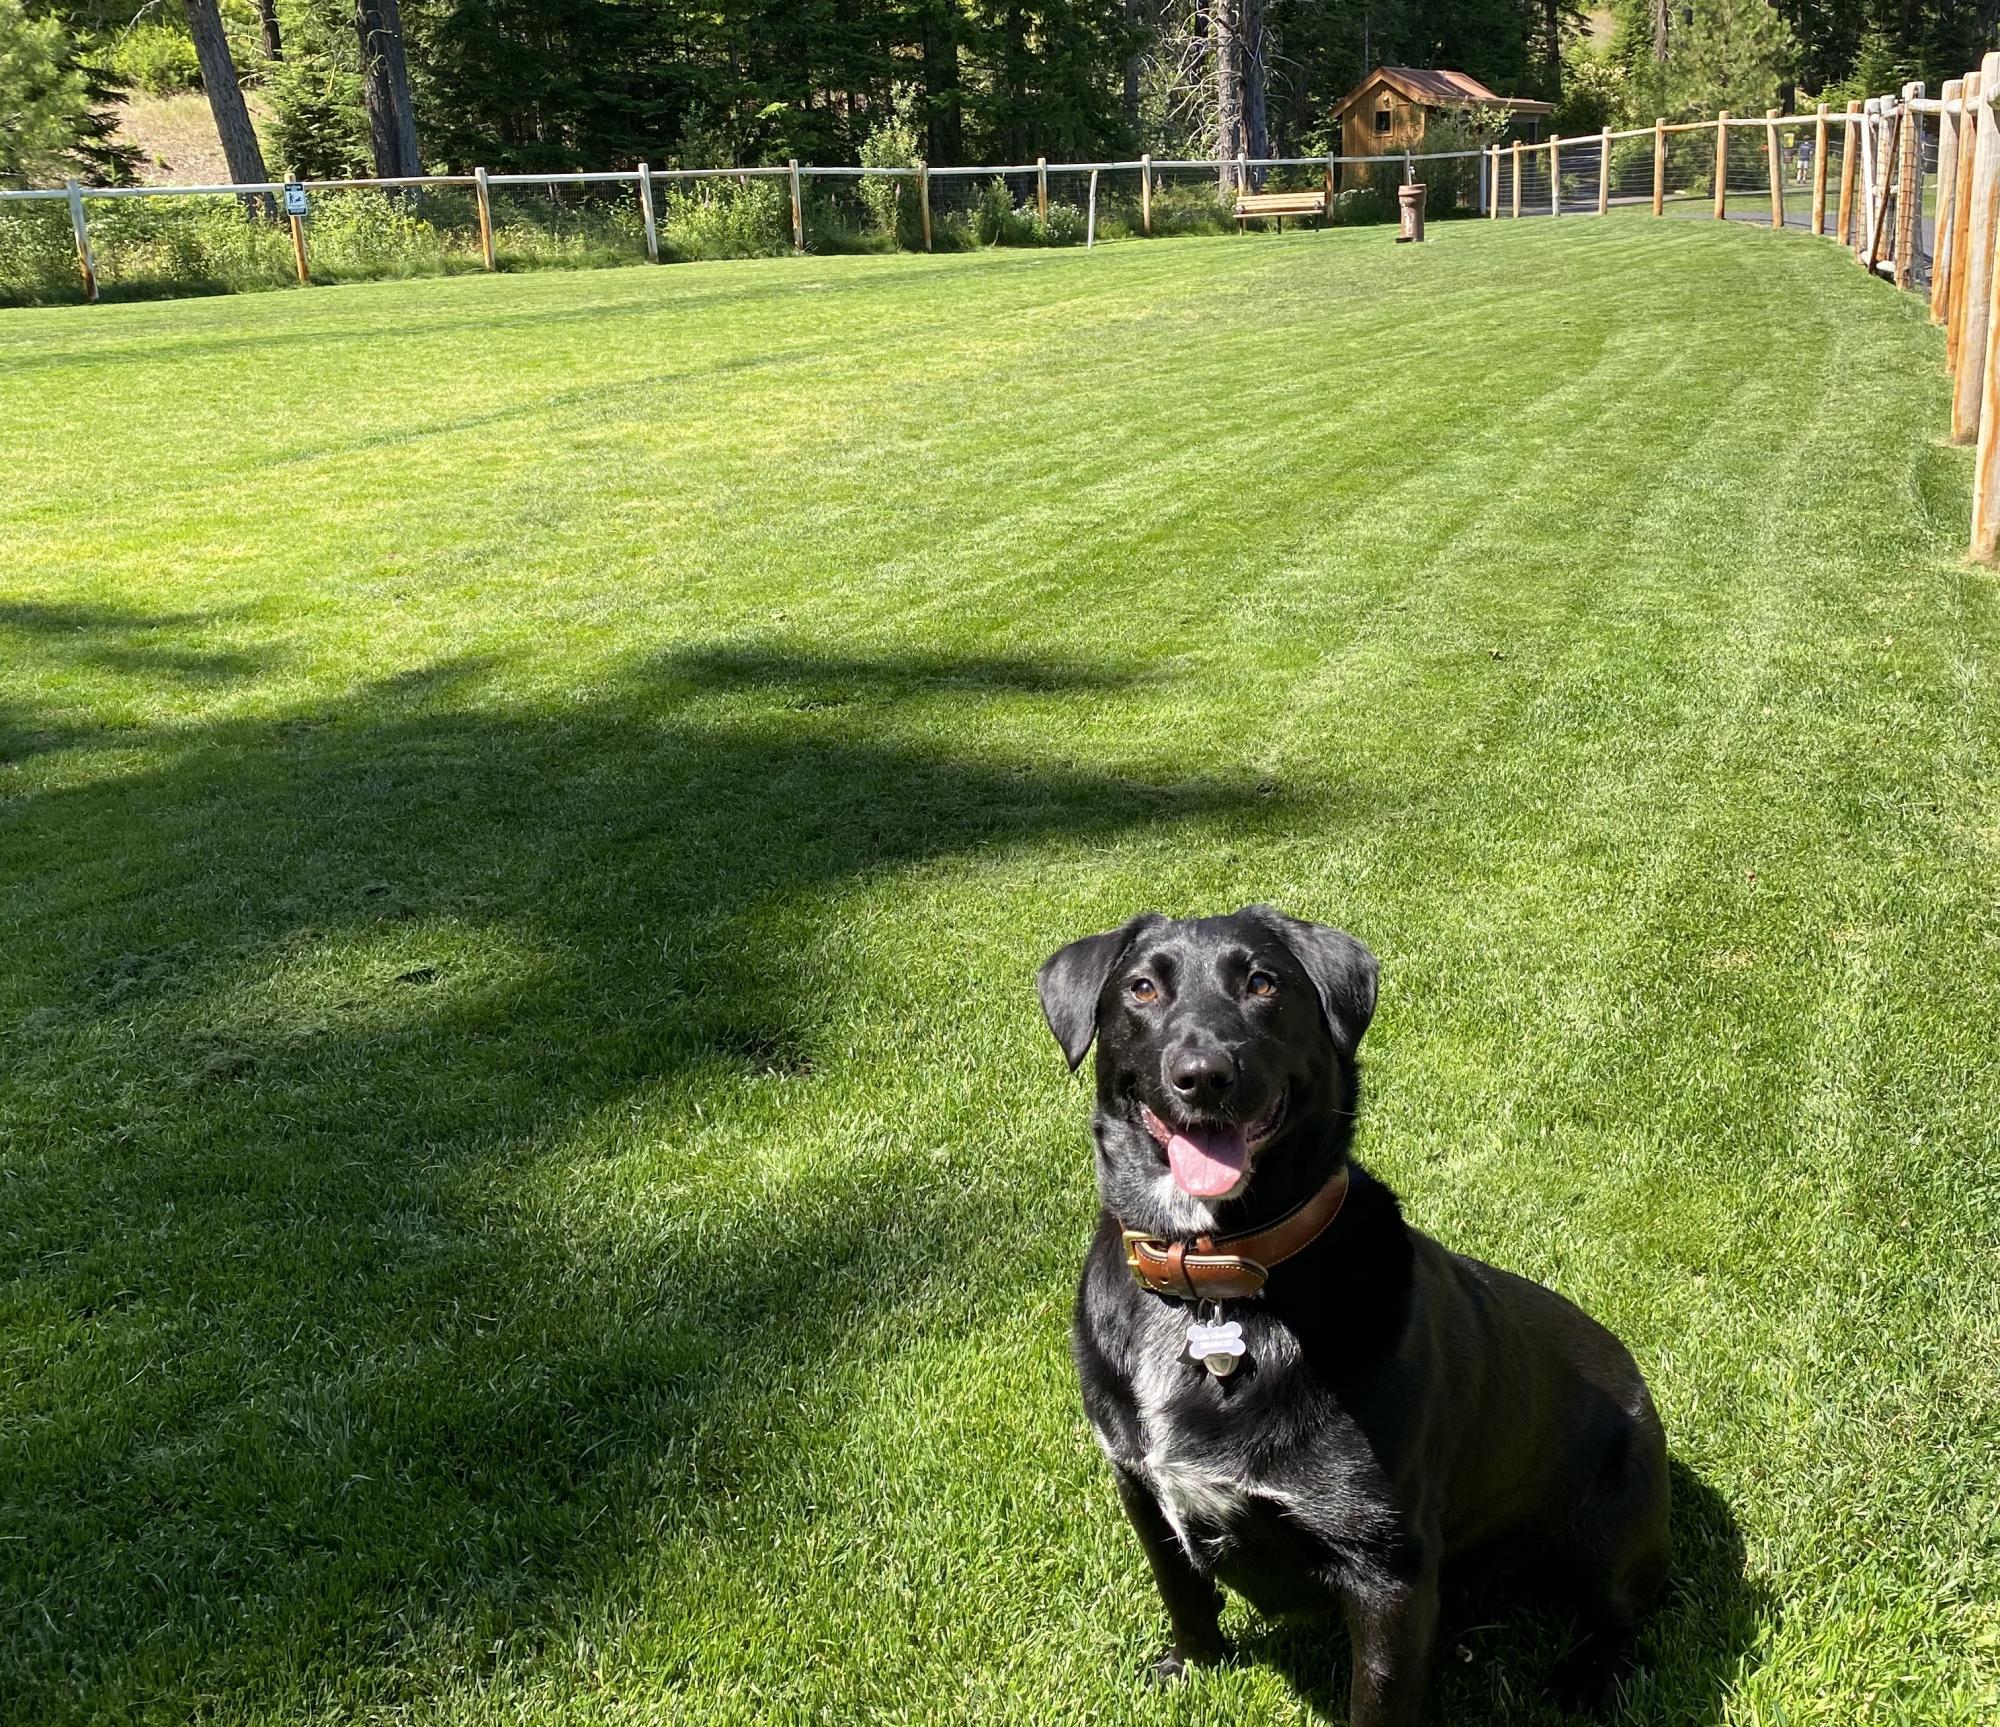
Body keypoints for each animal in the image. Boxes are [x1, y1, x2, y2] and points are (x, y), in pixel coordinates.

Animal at [1040, 911, 1680, 1719]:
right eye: (1142, 988)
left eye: (1262, 983)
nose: (1204, 1073)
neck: (1212, 1279)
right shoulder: (1140, 1489)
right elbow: (1182, 1589)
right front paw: (1195, 1666)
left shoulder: (1386, 1566)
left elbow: (1377, 1700)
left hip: (1612, 1525)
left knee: (1623, 1613)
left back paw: (1583, 1680)